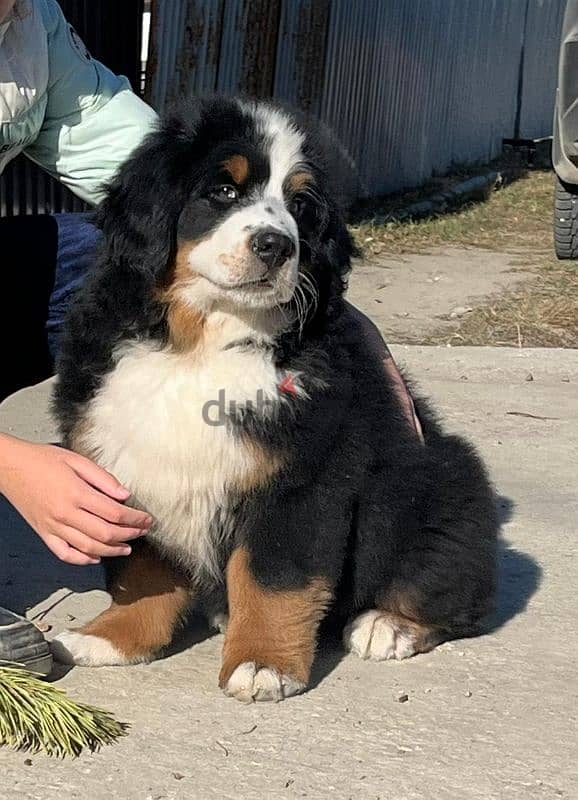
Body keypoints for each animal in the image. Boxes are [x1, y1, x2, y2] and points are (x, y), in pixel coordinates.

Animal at [51, 97, 498, 704]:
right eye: (223, 191)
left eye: (302, 207)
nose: (276, 244)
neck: (200, 344)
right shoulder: (126, 471)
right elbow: (141, 573)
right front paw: (113, 637)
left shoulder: (301, 480)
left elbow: (273, 579)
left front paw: (262, 663)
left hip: (446, 479)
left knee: (452, 587)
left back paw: (388, 625)